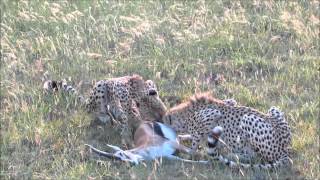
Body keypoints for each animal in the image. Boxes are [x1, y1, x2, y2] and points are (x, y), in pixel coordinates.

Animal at [162, 92, 292, 169]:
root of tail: (285, 151)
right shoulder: (230, 101)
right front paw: (182, 137)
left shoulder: (212, 115)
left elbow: (193, 144)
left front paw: (189, 151)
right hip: (274, 109)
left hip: (247, 119)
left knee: (254, 156)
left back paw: (232, 154)